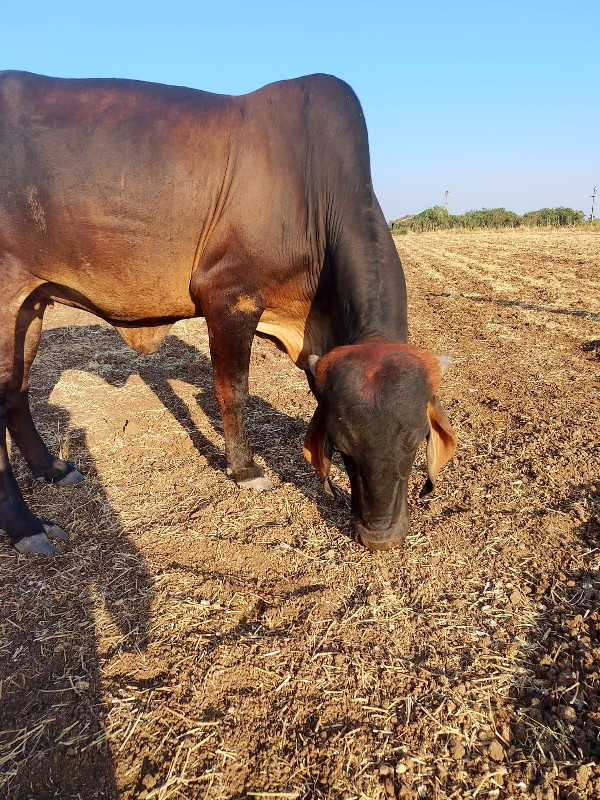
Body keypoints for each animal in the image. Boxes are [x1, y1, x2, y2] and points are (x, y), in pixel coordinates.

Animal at [0, 72, 454, 552]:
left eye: (415, 441)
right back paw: (27, 526)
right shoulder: (230, 297)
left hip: (31, 306)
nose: (379, 536)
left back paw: (52, 468)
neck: (312, 191)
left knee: (15, 393)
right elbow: (232, 390)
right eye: (342, 447)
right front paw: (246, 470)